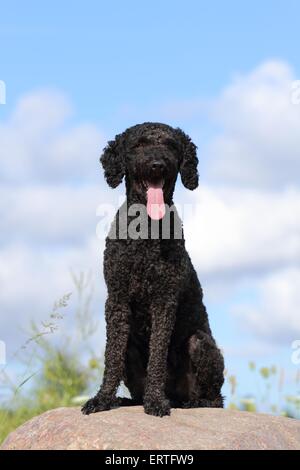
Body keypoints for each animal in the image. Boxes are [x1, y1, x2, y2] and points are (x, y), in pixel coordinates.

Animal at [81, 123, 224, 416]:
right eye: (139, 145)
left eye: (170, 145)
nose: (157, 164)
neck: (145, 230)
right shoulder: (117, 300)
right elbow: (111, 357)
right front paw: (102, 399)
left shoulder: (164, 300)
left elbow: (157, 354)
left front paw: (156, 401)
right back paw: (126, 400)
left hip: (201, 343)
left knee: (216, 399)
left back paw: (191, 402)